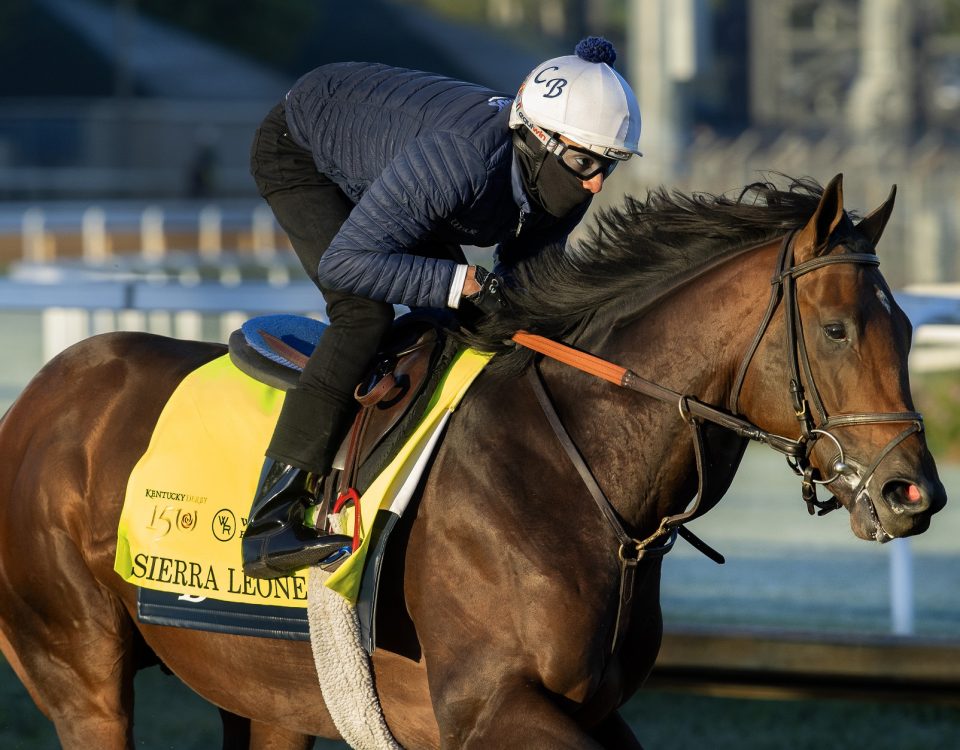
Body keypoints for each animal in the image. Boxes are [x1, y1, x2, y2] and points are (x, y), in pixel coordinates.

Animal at [0, 173, 944, 748]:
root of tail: (41, 395)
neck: (579, 471)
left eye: (906, 328)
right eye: (836, 329)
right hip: (79, 669)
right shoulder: (488, 708)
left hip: (260, 693)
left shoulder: (590, 707)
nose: (914, 493)